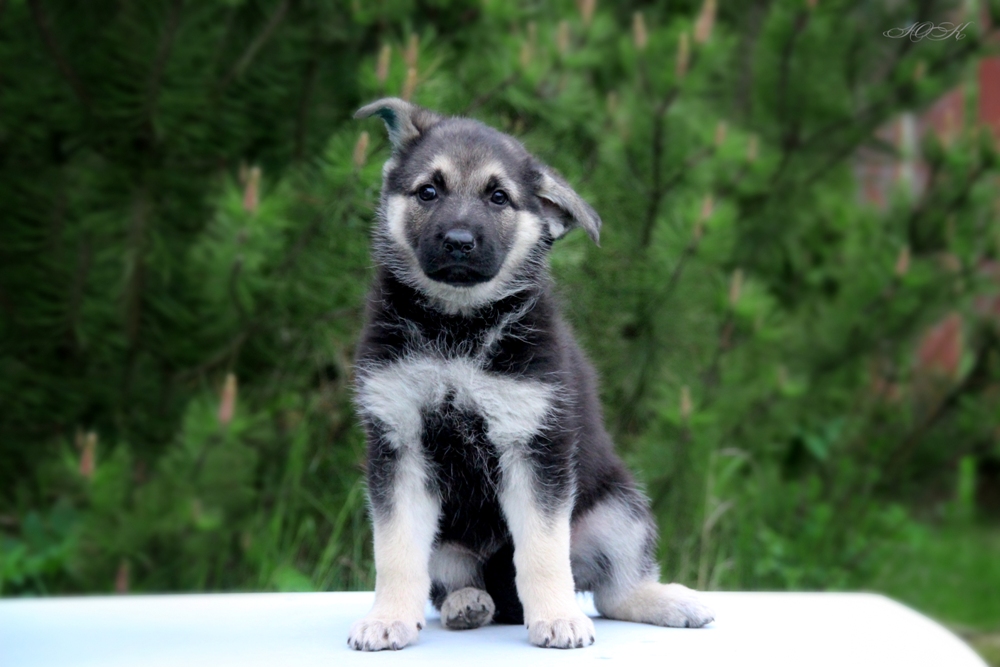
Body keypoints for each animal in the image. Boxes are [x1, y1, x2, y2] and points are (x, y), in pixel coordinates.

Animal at [348, 99, 716, 652]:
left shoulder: (535, 446)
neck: (459, 326)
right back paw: (467, 604)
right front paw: (387, 618)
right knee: (456, 577)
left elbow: (542, 550)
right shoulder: (400, 445)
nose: (459, 242)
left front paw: (558, 618)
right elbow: (395, 550)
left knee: (613, 590)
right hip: (451, 541)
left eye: (498, 197)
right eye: (428, 191)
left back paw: (667, 601)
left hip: (618, 511)